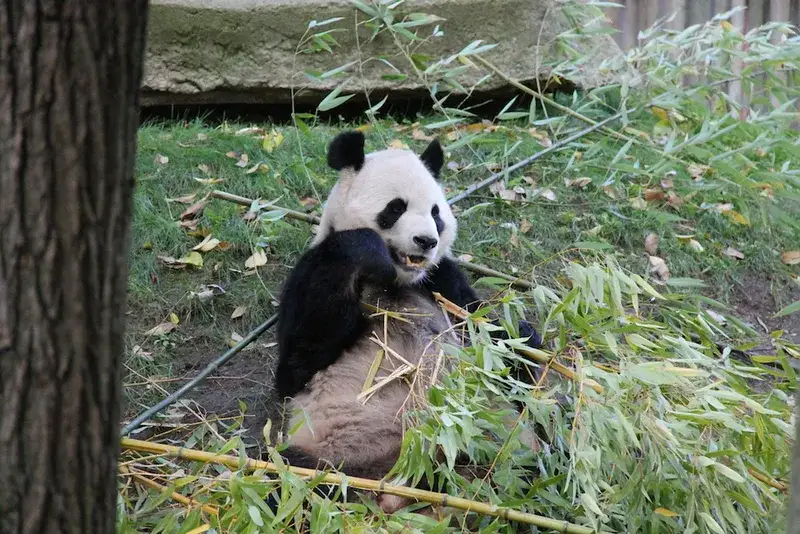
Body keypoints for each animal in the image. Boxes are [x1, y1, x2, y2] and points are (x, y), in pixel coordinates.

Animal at [267, 130, 542, 513]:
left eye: (436, 213)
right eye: (395, 208)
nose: (426, 241)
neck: (397, 280)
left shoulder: (441, 281)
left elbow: (489, 334)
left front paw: (526, 340)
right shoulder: (312, 271)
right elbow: (298, 363)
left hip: (494, 431)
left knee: (522, 462)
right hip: (332, 452)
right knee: (291, 481)